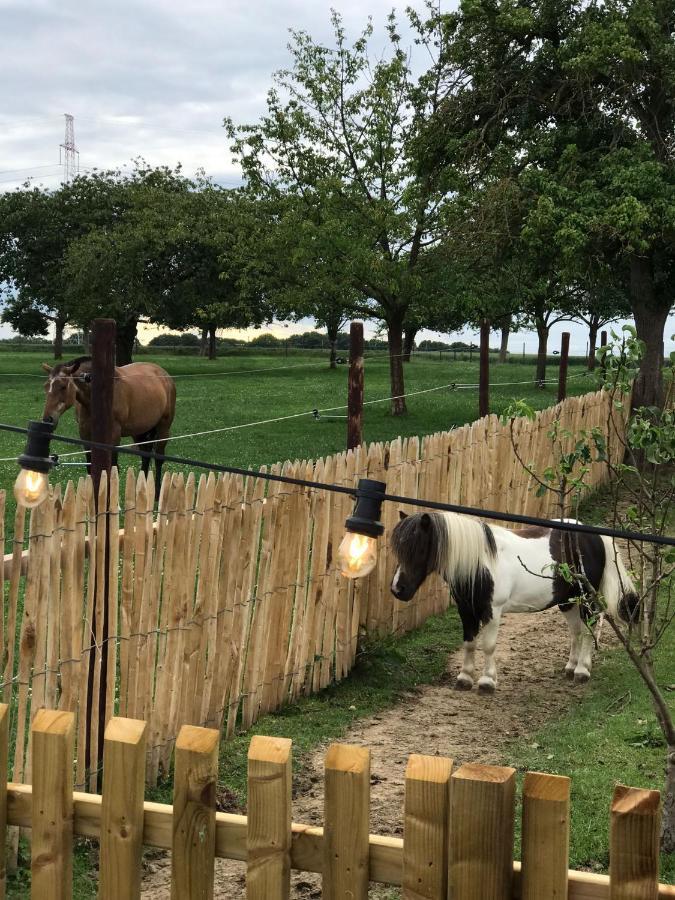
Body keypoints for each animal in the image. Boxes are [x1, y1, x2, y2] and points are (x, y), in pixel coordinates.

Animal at [40, 356, 176, 496]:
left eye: (63, 386)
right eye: (46, 386)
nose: (47, 419)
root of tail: (164, 375)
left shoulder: (114, 436)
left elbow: (112, 468)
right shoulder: (85, 435)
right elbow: (91, 467)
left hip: (164, 428)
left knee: (159, 458)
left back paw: (157, 492)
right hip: (139, 432)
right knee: (146, 455)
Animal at [390, 510, 640, 692]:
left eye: (418, 548)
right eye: (399, 550)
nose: (397, 589)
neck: (481, 562)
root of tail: (596, 535)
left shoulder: (492, 610)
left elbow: (488, 645)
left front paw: (487, 681)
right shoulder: (466, 610)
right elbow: (469, 643)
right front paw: (464, 678)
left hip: (586, 598)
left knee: (589, 630)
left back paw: (582, 671)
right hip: (567, 600)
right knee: (576, 631)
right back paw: (571, 667)